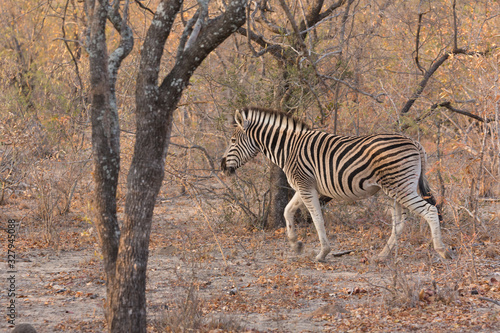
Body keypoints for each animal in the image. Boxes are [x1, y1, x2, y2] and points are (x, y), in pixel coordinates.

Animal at [221, 107, 452, 260]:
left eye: (232, 141)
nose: (222, 166)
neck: (289, 148)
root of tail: (413, 141)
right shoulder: (304, 186)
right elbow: (287, 211)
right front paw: (296, 244)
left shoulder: (305, 186)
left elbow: (317, 219)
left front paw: (322, 252)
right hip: (395, 189)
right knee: (399, 222)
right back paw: (382, 255)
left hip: (401, 187)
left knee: (430, 210)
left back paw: (442, 250)